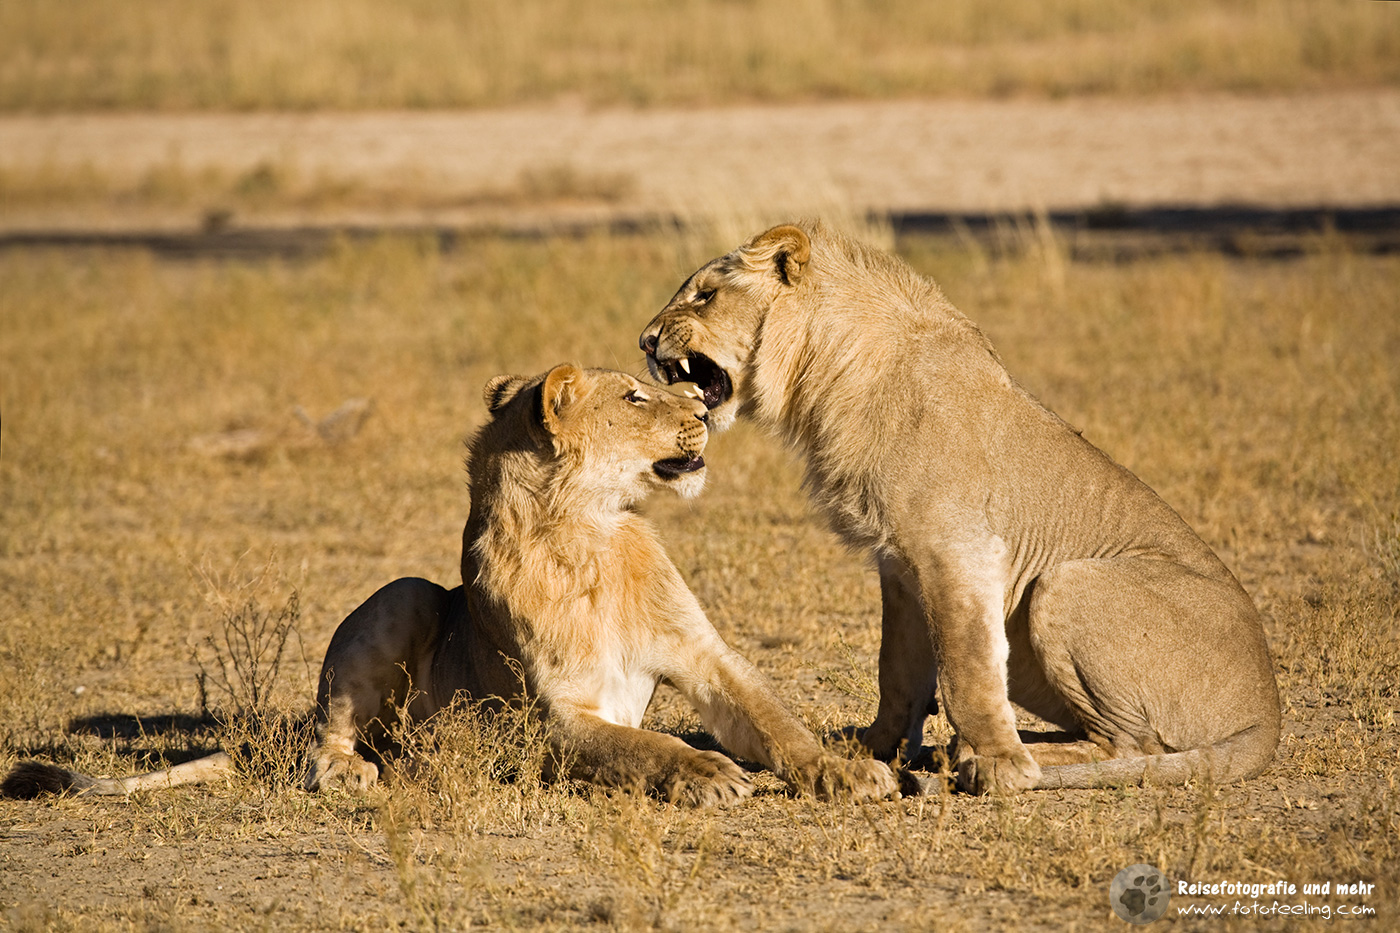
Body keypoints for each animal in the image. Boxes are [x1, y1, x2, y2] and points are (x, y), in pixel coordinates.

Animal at [3, 364, 896, 806]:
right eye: (637, 395)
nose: (707, 413)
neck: (592, 533)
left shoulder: (705, 657)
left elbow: (778, 723)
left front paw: (848, 772)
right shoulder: (555, 716)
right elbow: (643, 745)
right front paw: (706, 773)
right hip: (403, 593)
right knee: (322, 743)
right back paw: (357, 771)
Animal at [639, 222, 1281, 794]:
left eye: (705, 295)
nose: (645, 341)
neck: (823, 377)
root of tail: (1268, 713)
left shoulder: (959, 550)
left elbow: (965, 670)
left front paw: (999, 763)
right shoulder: (898, 564)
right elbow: (898, 671)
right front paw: (873, 749)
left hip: (1066, 582)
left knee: (1133, 745)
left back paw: (1004, 758)